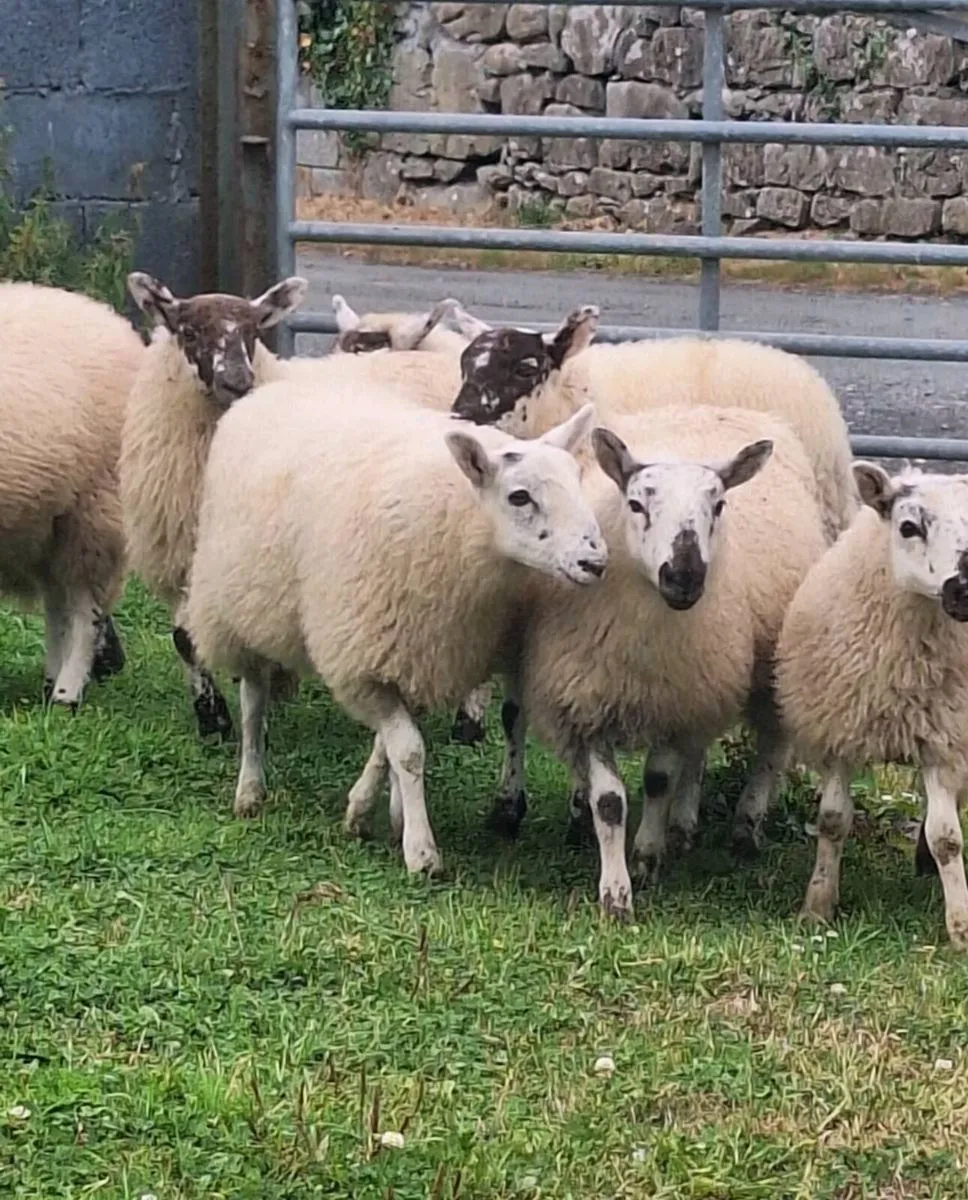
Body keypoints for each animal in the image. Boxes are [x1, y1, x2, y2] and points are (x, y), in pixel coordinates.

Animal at [0, 281, 145, 705]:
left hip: (94, 510)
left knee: (83, 609)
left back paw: (67, 692)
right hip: (50, 523)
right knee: (57, 601)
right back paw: (52, 679)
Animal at [120, 271, 309, 738]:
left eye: (254, 332)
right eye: (188, 332)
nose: (237, 383)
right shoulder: (180, 556)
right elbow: (185, 640)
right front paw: (213, 718)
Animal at [184, 381, 606, 874]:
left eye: (578, 480)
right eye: (519, 496)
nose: (595, 562)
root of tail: (281, 384)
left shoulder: (419, 650)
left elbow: (389, 745)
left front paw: (373, 812)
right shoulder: (361, 657)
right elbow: (408, 749)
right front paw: (421, 851)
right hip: (238, 610)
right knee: (253, 703)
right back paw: (250, 789)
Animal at [515, 404, 828, 917]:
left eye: (718, 506)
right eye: (636, 505)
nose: (684, 575)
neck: (644, 651)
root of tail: (710, 407)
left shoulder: (673, 702)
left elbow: (659, 779)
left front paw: (645, 858)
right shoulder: (592, 702)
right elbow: (609, 802)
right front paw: (615, 893)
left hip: (763, 670)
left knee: (769, 752)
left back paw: (744, 828)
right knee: (698, 752)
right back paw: (682, 827)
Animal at [775, 464, 968, 950]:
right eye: (908, 526)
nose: (963, 590)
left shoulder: (942, 742)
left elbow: (947, 838)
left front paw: (959, 927)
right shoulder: (839, 733)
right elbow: (831, 821)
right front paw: (817, 907)